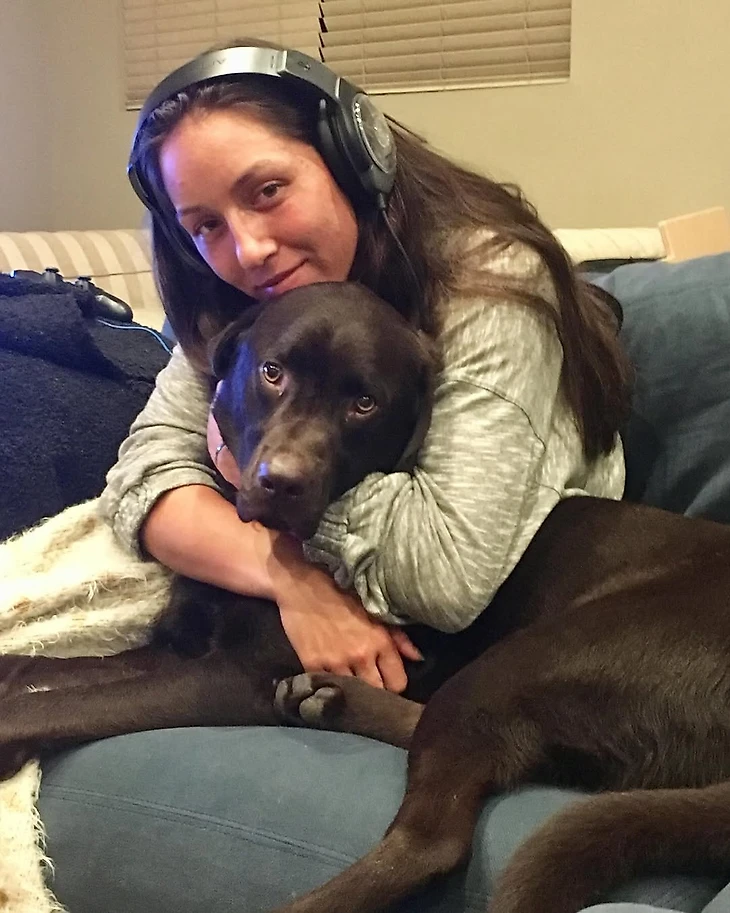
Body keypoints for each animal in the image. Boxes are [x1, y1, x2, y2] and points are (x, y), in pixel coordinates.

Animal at [2, 280, 730, 913]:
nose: (282, 482)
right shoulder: (183, 648)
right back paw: (330, 698)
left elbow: (78, 701)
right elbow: (70, 668)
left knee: (432, 840)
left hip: (540, 657)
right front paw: (15, 670)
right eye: (272, 372)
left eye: (364, 403)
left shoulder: (231, 675)